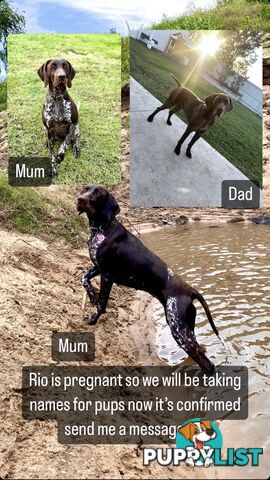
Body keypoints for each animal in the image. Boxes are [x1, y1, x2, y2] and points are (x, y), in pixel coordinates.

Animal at [76, 184, 226, 372]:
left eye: (98, 193)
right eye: (85, 189)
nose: (80, 199)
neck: (102, 228)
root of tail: (190, 290)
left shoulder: (107, 275)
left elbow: (102, 304)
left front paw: (94, 318)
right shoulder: (97, 268)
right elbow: (84, 278)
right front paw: (92, 296)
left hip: (179, 330)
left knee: (208, 364)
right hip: (185, 330)